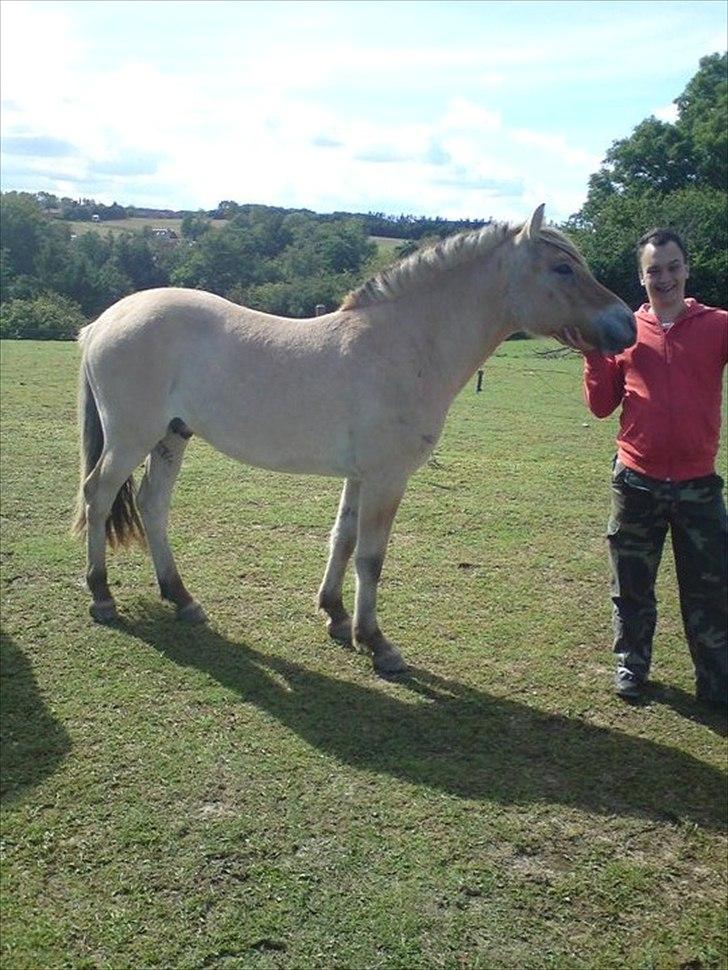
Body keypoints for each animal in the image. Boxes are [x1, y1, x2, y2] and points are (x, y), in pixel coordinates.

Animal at [71, 204, 636, 672]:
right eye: (563, 268)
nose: (627, 324)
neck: (406, 345)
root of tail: (104, 321)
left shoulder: (360, 476)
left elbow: (342, 539)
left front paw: (336, 615)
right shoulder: (387, 477)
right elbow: (371, 556)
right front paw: (377, 642)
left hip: (171, 437)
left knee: (152, 504)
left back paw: (181, 598)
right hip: (131, 438)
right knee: (98, 495)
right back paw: (101, 595)